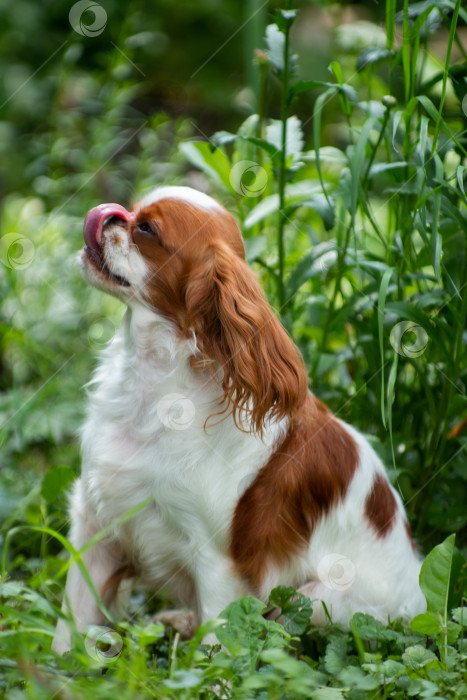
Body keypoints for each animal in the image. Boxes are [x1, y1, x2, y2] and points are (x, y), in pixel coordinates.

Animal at [52, 183, 428, 652]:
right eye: (132, 210)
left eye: (147, 229)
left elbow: (218, 646)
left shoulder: (217, 561)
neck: (153, 383)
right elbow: (70, 625)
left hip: (317, 600)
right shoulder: (96, 527)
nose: (111, 216)